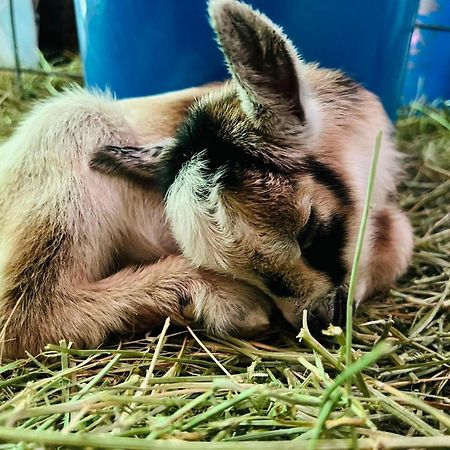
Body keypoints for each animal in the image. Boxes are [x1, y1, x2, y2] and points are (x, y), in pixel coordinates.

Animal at [0, 0, 412, 358]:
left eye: (309, 229)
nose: (317, 321)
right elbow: (400, 233)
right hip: (70, 130)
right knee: (28, 316)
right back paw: (228, 302)